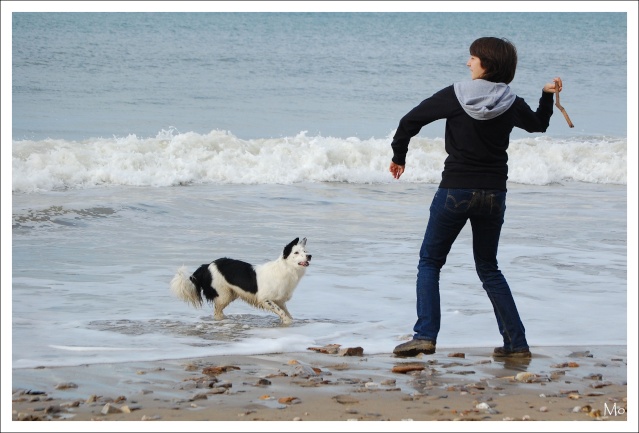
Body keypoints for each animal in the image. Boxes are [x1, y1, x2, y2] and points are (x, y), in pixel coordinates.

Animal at [169, 236, 312, 324]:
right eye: (296, 253)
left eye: (305, 251)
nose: (310, 256)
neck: (286, 269)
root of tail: (207, 265)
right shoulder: (265, 299)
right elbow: (282, 313)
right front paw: (287, 322)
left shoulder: (280, 300)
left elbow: (285, 312)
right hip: (223, 295)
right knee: (217, 312)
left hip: (230, 294)